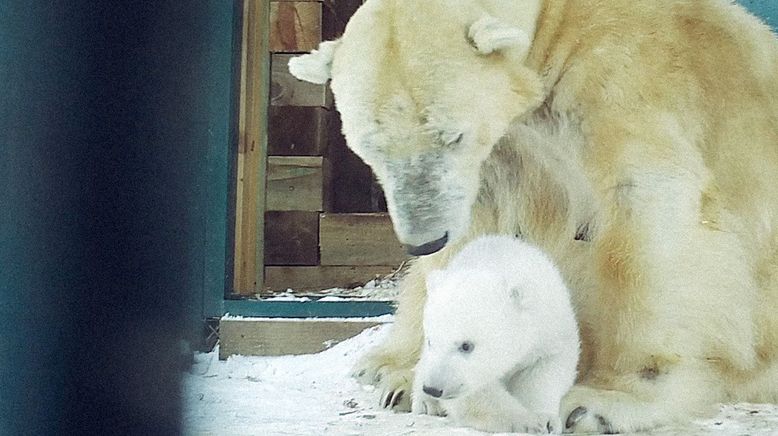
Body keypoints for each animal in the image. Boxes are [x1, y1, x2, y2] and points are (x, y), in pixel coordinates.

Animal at [290, 0, 776, 432]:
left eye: (452, 135)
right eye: (368, 147)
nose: (424, 241)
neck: (556, 24)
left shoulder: (625, 78)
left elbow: (650, 210)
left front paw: (604, 401)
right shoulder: (502, 156)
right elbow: (479, 235)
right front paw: (416, 376)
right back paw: (385, 367)